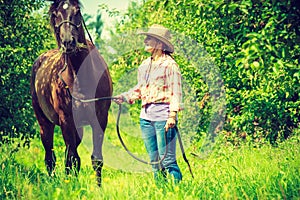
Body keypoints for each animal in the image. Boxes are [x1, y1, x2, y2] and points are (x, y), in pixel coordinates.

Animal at [30, 0, 112, 186]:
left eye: (77, 11)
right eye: (55, 15)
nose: (68, 42)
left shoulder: (100, 118)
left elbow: (96, 159)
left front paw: (98, 188)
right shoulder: (66, 119)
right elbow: (71, 157)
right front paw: (71, 187)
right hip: (44, 123)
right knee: (50, 156)